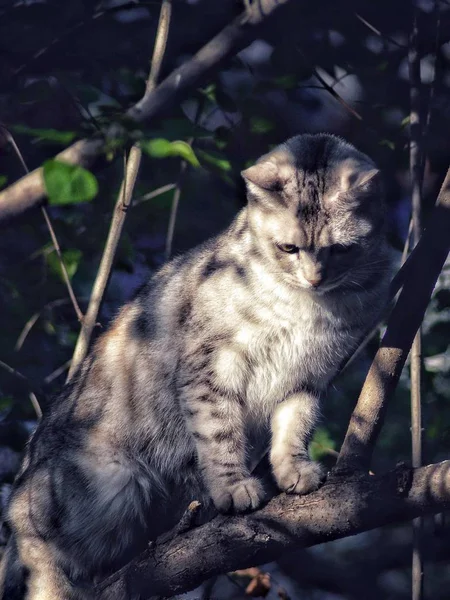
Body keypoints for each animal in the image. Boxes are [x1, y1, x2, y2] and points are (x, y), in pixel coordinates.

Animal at [0, 132, 390, 600]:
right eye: (288, 248)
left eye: (340, 249)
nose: (315, 277)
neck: (308, 307)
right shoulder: (212, 363)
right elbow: (219, 432)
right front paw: (233, 486)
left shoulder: (310, 375)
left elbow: (296, 424)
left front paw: (293, 468)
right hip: (104, 482)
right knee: (39, 557)